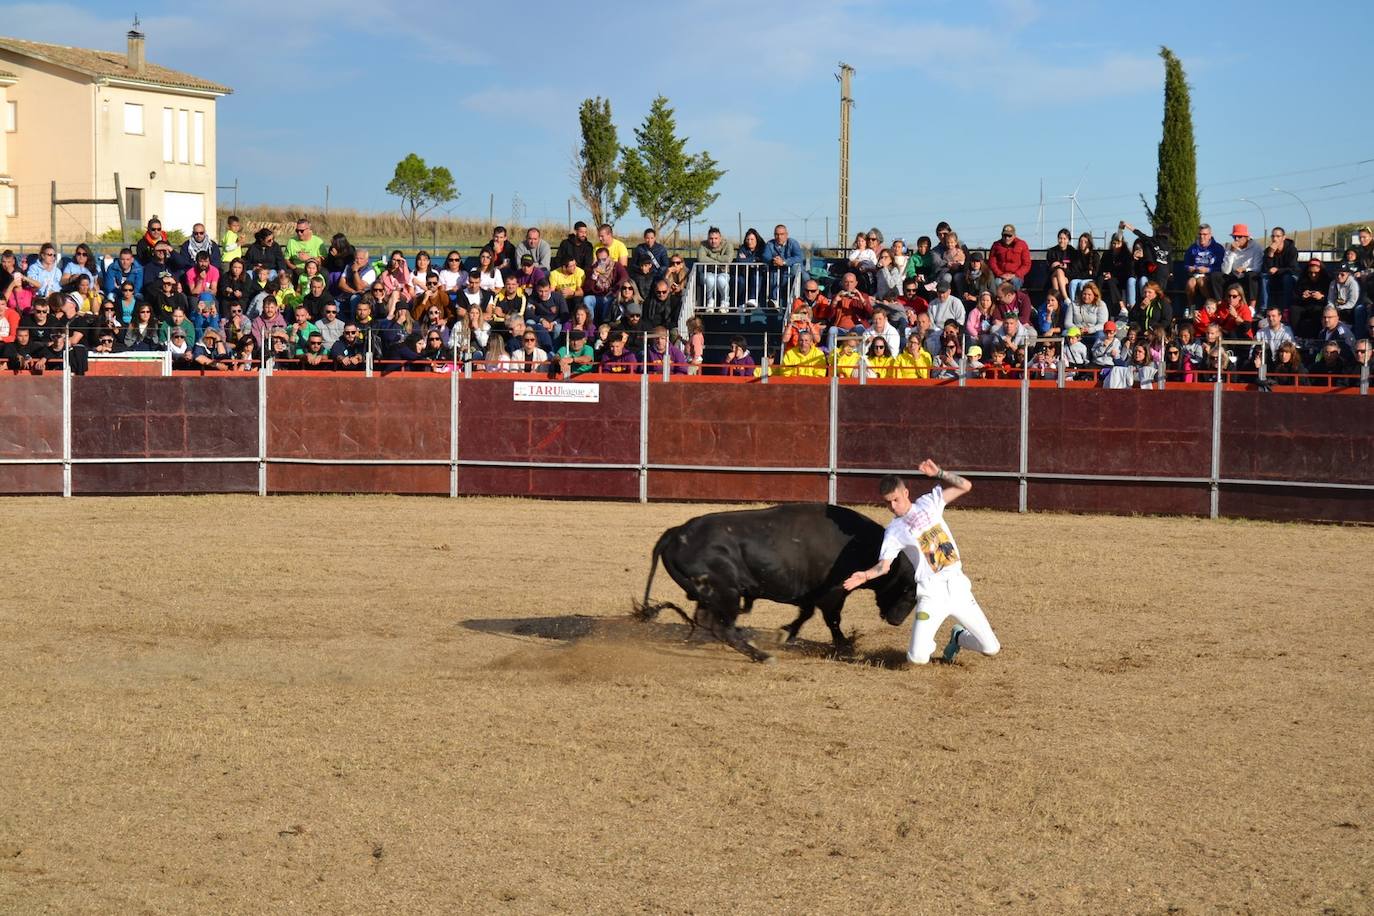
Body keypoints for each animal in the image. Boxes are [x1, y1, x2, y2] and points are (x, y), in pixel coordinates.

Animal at [629, 502, 912, 659]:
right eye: (910, 590)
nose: (896, 621)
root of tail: (676, 532)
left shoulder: (810, 593)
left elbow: (805, 613)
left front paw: (784, 633)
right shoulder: (832, 594)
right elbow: (832, 620)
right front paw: (845, 646)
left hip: (712, 595)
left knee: (709, 622)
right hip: (725, 591)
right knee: (721, 627)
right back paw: (761, 656)